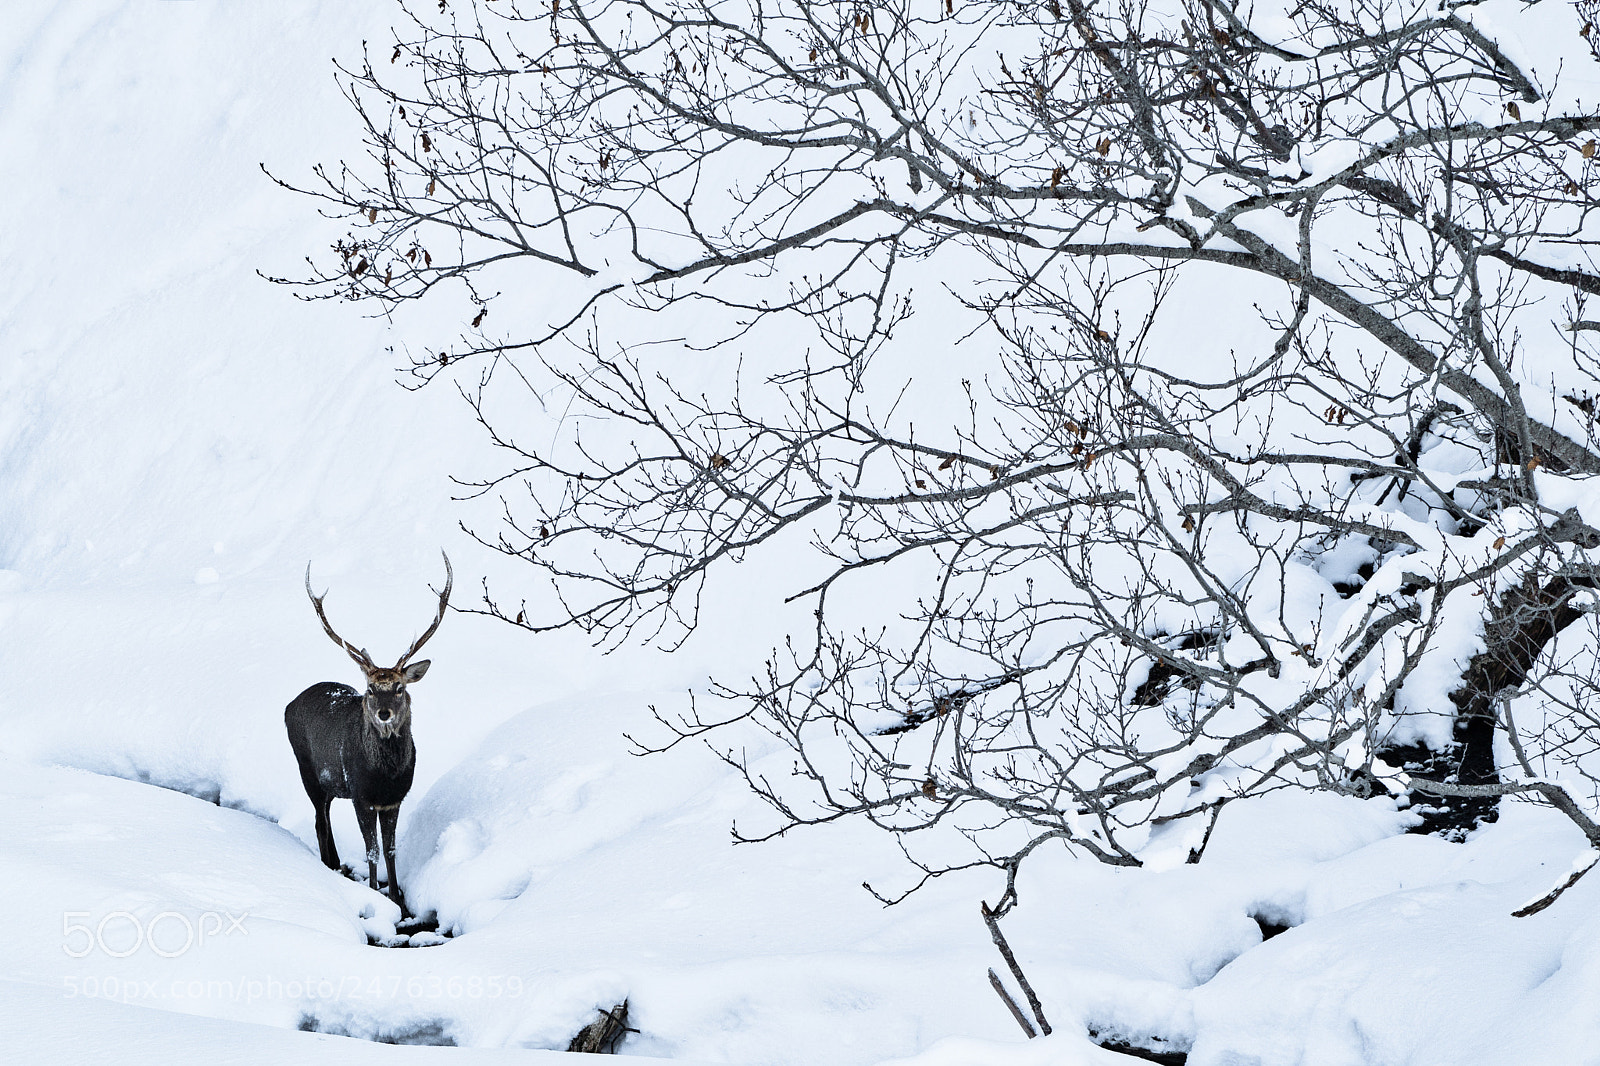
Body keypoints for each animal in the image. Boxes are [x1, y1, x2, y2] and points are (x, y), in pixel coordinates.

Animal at [284, 547, 451, 902]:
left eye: (400, 687)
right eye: (371, 689)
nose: (384, 714)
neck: (385, 776)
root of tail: (289, 705)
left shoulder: (393, 799)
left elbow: (390, 850)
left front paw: (396, 895)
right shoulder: (361, 794)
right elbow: (371, 851)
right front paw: (376, 892)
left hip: (330, 784)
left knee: (325, 815)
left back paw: (335, 863)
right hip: (306, 768)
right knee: (320, 821)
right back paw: (330, 866)